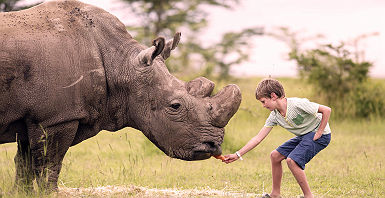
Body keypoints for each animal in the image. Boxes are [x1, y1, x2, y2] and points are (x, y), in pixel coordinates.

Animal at [0, 0, 240, 192]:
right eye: (175, 106)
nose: (213, 146)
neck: (120, 63)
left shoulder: (33, 116)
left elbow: (25, 162)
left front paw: (21, 193)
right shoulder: (56, 117)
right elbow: (49, 162)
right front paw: (49, 193)